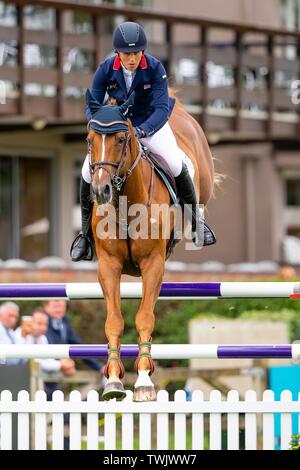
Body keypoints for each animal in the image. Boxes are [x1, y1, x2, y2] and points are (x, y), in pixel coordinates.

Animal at [85, 88, 217, 400]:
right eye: (89, 140)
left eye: (121, 140)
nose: (100, 190)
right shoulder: (109, 266)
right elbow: (114, 320)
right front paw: (113, 380)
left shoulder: (153, 265)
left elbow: (144, 317)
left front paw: (144, 380)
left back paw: (200, 227)